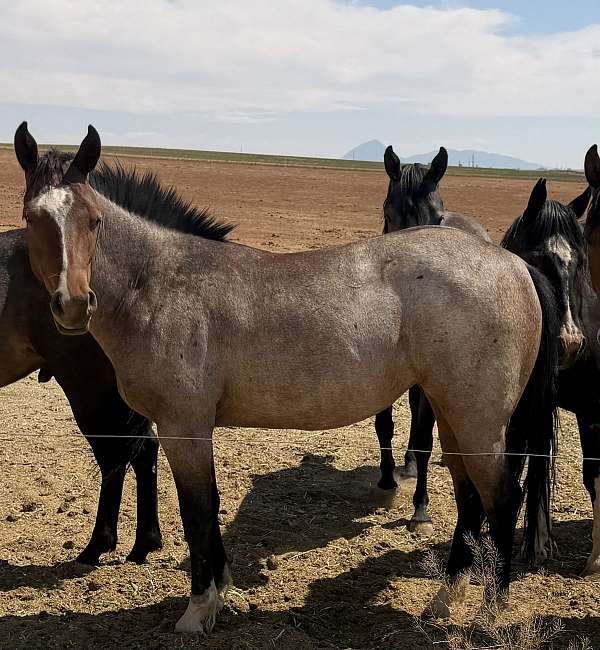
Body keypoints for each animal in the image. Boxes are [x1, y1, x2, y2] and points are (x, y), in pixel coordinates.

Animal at [375, 145, 492, 542]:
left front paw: (420, 510)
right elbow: (384, 424)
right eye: (388, 213)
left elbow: (425, 439)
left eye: (437, 218)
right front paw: (386, 479)